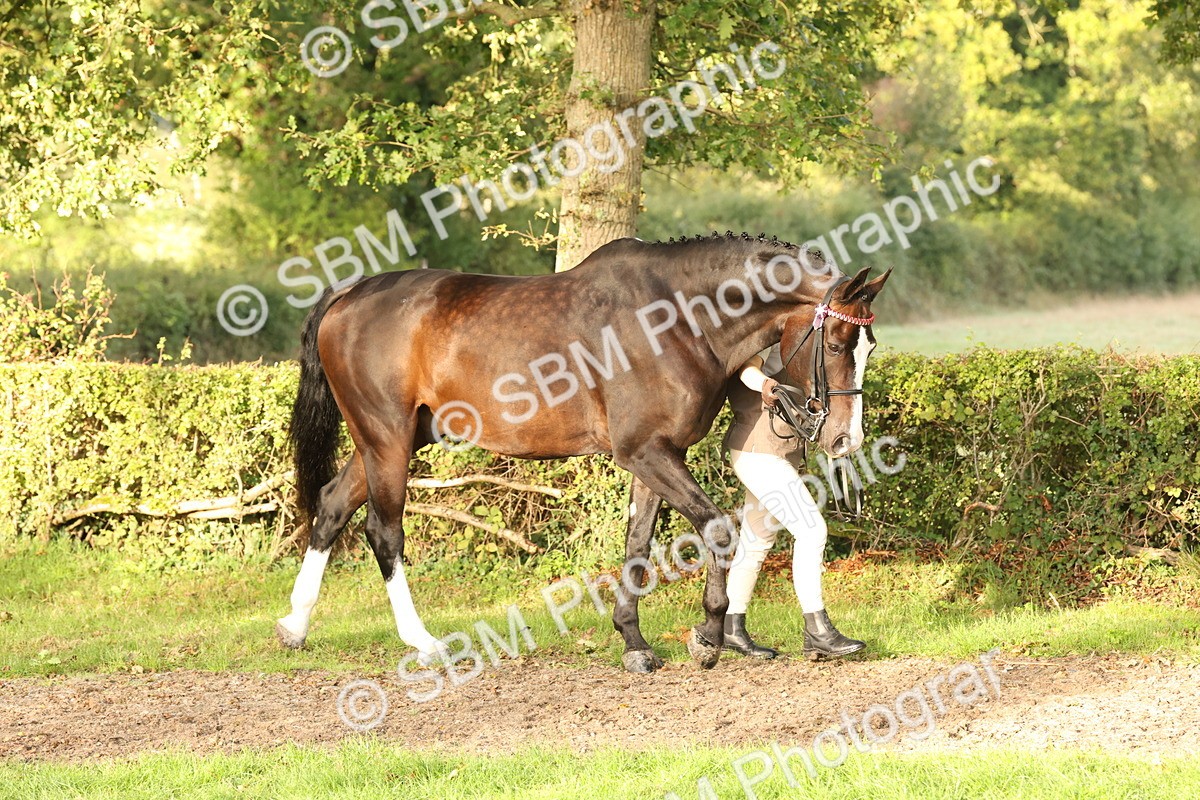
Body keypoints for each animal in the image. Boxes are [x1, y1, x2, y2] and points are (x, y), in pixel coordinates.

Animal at [276, 232, 891, 673]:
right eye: (838, 343)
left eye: (869, 344)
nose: (845, 440)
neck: (676, 317)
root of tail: (349, 294)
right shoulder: (647, 452)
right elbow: (716, 529)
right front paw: (708, 638)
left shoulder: (655, 456)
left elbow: (638, 544)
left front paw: (635, 643)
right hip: (388, 439)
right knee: (384, 531)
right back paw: (423, 641)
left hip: (388, 441)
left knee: (331, 506)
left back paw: (295, 626)